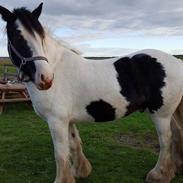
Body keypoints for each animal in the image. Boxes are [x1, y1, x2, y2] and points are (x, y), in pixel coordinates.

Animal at [0, 2, 183, 183]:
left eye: (41, 37)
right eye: (18, 36)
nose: (46, 78)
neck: (57, 68)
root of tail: (177, 62)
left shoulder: (56, 121)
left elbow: (60, 154)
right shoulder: (67, 120)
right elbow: (74, 144)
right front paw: (80, 171)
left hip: (160, 114)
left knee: (166, 140)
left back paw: (159, 175)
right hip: (169, 113)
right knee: (176, 134)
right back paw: (175, 169)